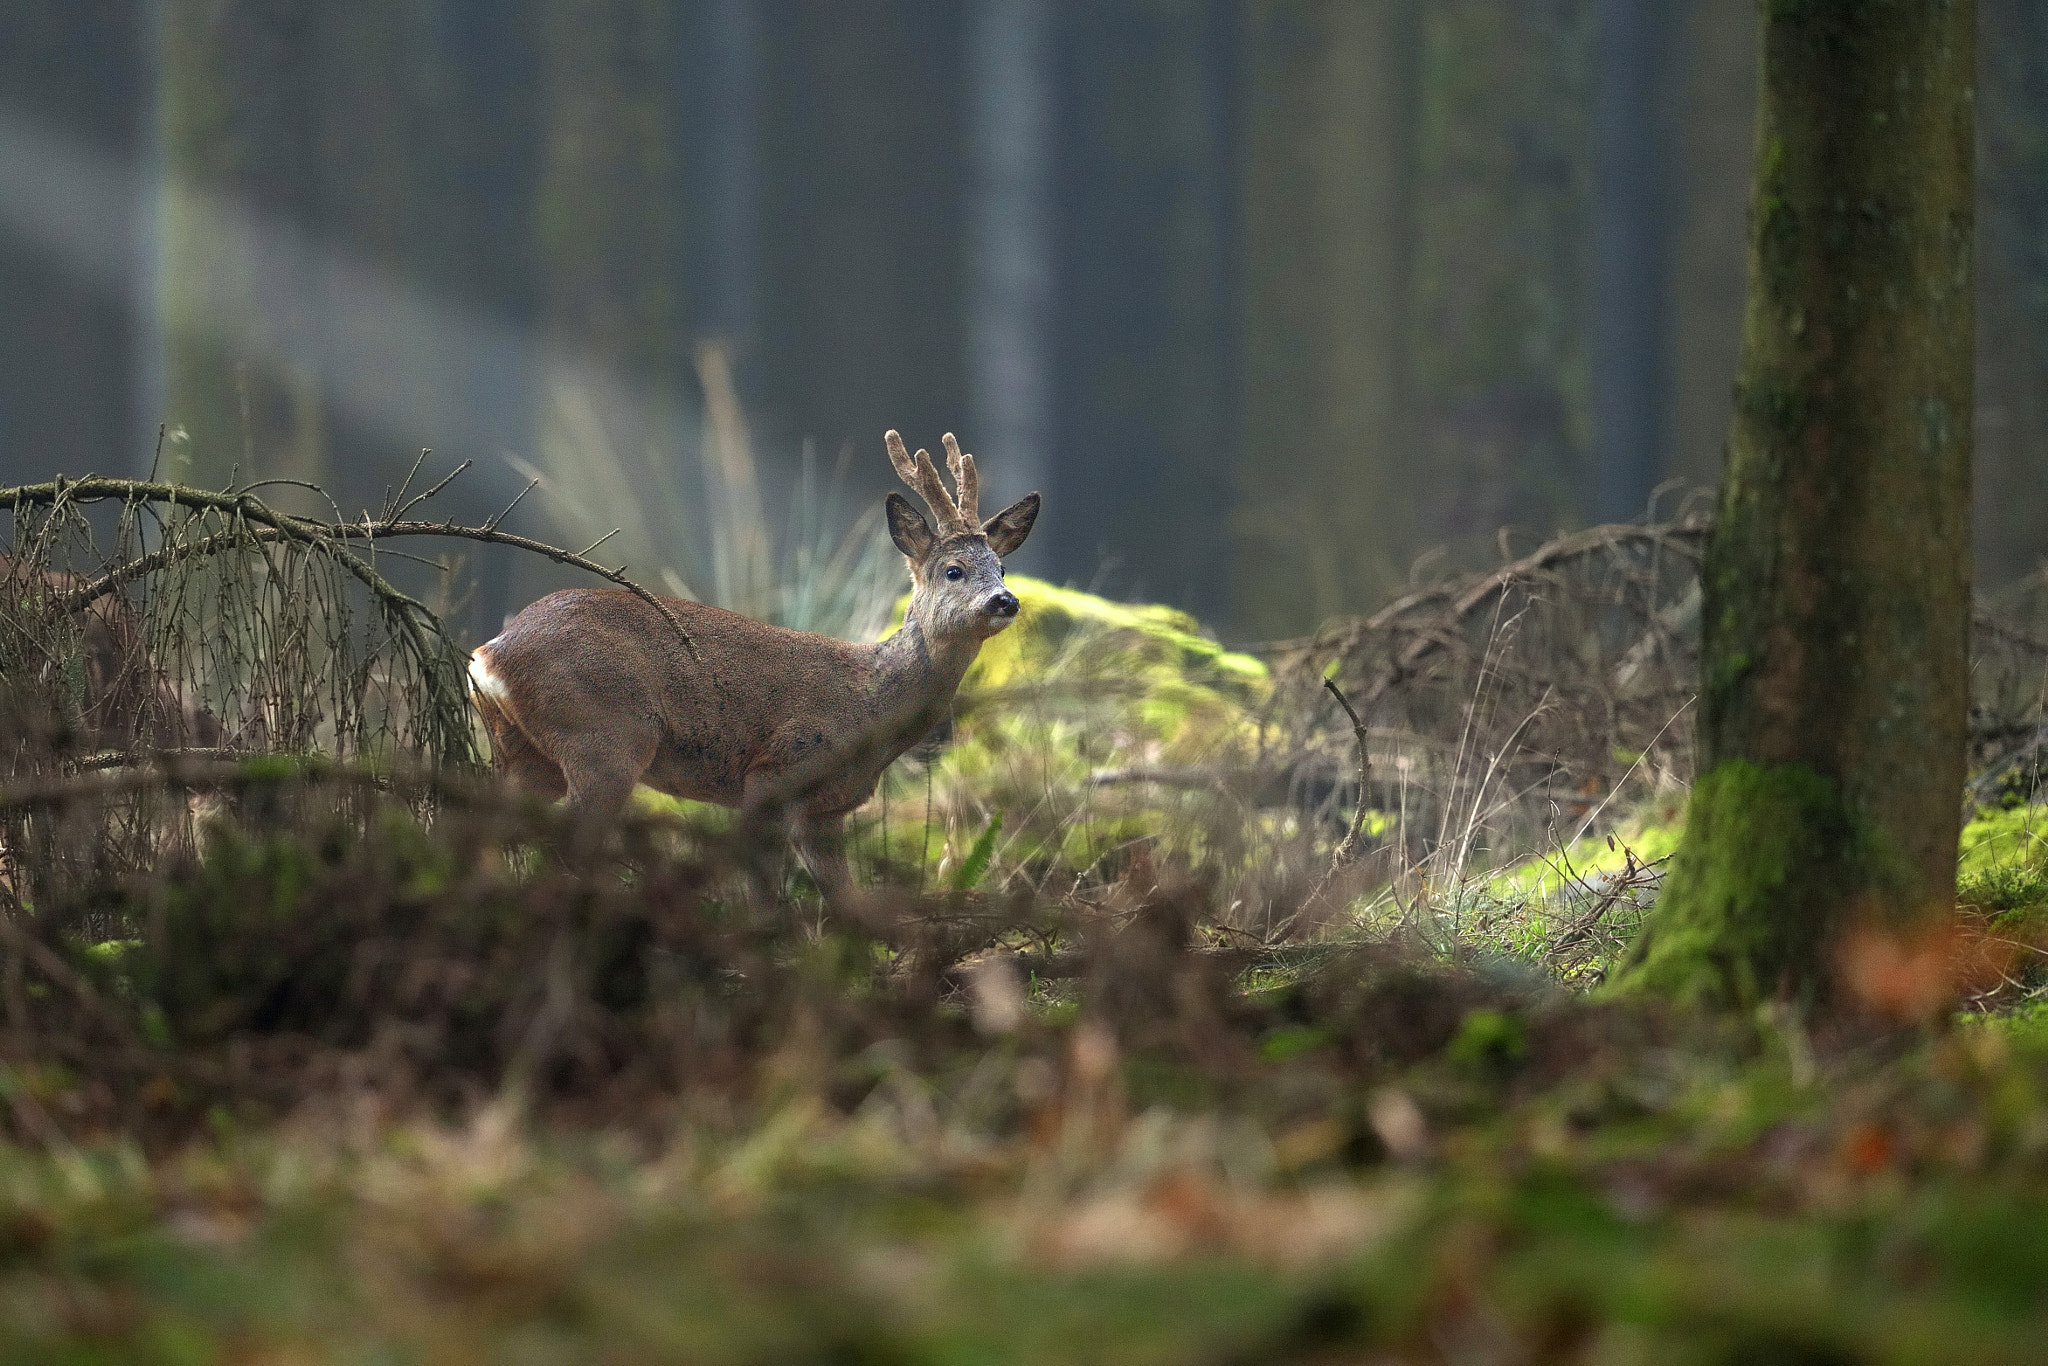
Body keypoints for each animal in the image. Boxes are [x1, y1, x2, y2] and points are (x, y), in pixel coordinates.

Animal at [468, 432, 1040, 892]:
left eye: (1001, 566)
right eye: (953, 569)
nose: (1006, 601)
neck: (870, 706)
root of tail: (490, 653)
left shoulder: (824, 810)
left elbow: (846, 898)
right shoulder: (775, 770)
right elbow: (764, 889)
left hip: (523, 749)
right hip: (605, 734)